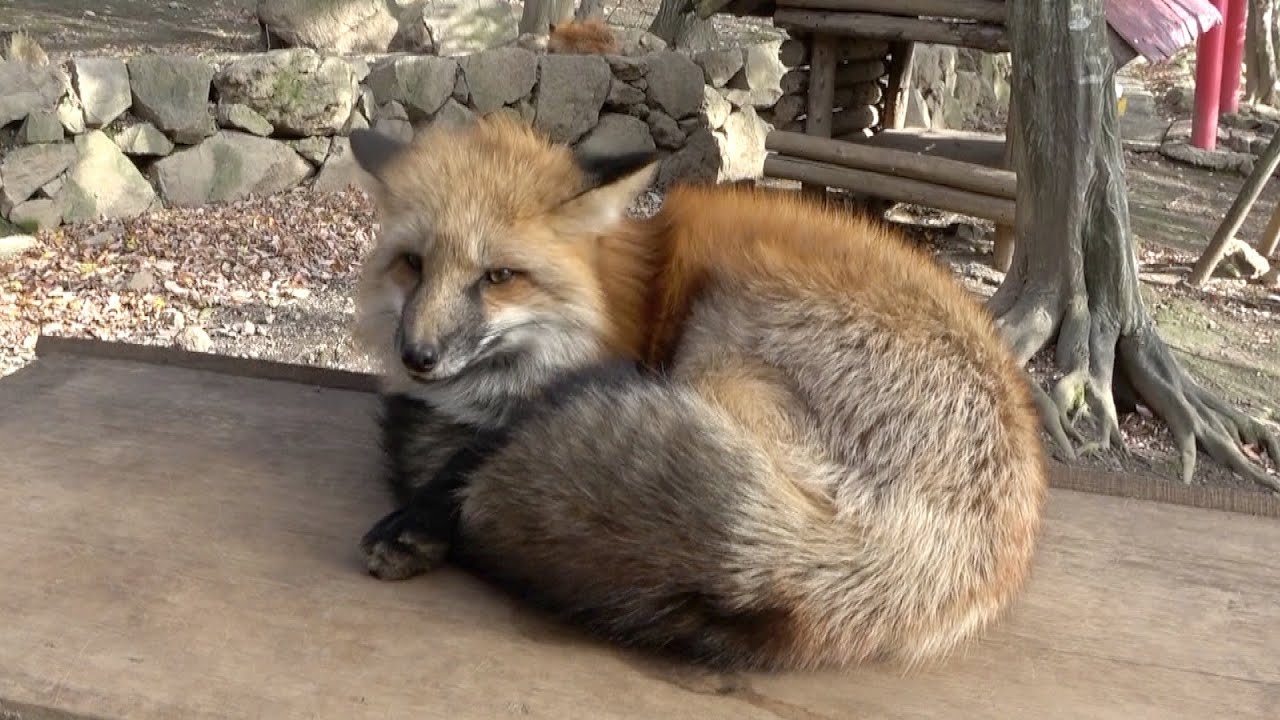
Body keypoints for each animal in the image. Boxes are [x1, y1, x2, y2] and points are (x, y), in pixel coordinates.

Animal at [346, 115, 1049, 673]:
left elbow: (487, 444)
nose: (418, 357)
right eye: (413, 264)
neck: (619, 297)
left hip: (728, 328)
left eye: (498, 277)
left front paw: (420, 517)